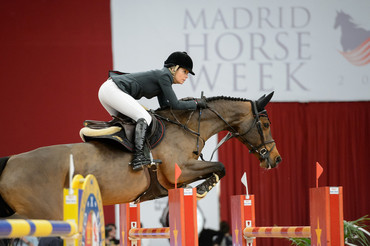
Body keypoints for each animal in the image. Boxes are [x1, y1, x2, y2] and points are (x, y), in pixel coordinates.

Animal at [0, 92, 280, 219]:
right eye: (265, 124)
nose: (276, 159)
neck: (186, 126)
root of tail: (11, 161)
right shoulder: (180, 170)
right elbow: (220, 166)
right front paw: (203, 189)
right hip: (42, 213)